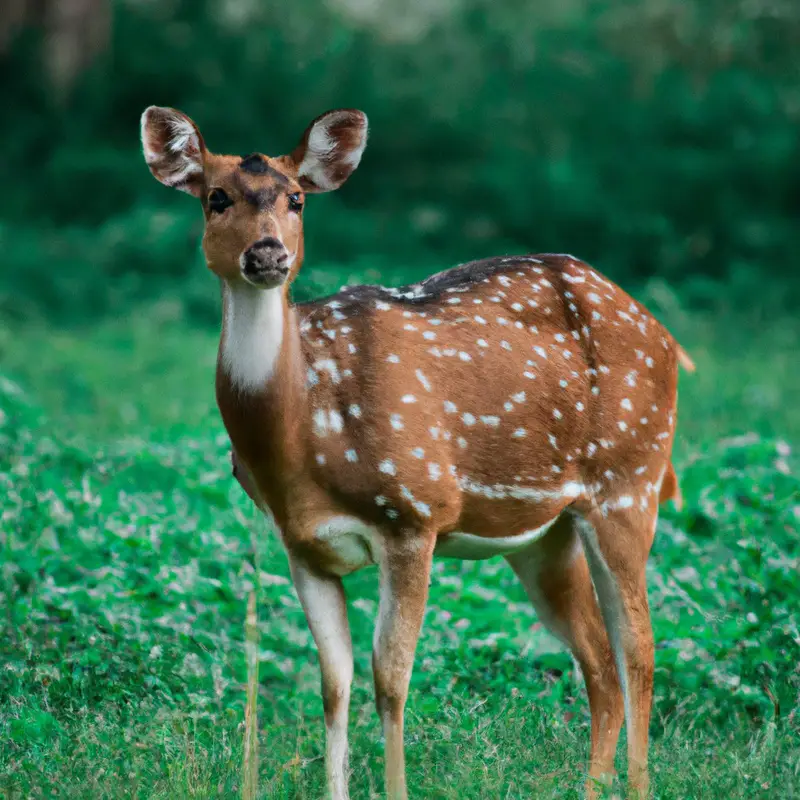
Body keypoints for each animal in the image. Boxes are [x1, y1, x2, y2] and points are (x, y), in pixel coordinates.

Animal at [141, 106, 692, 800]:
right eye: (216, 197)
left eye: (296, 199)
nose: (267, 253)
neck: (300, 434)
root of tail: (666, 338)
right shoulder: (302, 546)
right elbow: (334, 681)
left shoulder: (414, 512)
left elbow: (391, 676)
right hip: (547, 533)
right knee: (598, 659)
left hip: (630, 476)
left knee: (639, 647)